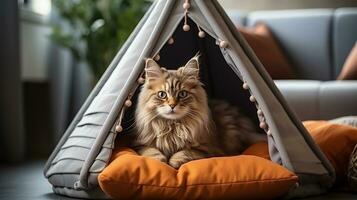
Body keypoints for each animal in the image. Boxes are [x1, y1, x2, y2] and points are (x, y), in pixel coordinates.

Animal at [132, 55, 262, 169]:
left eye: (182, 94)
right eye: (162, 94)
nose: (172, 105)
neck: (173, 127)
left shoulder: (208, 149)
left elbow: (185, 152)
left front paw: (173, 161)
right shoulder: (139, 144)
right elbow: (151, 151)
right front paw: (160, 160)